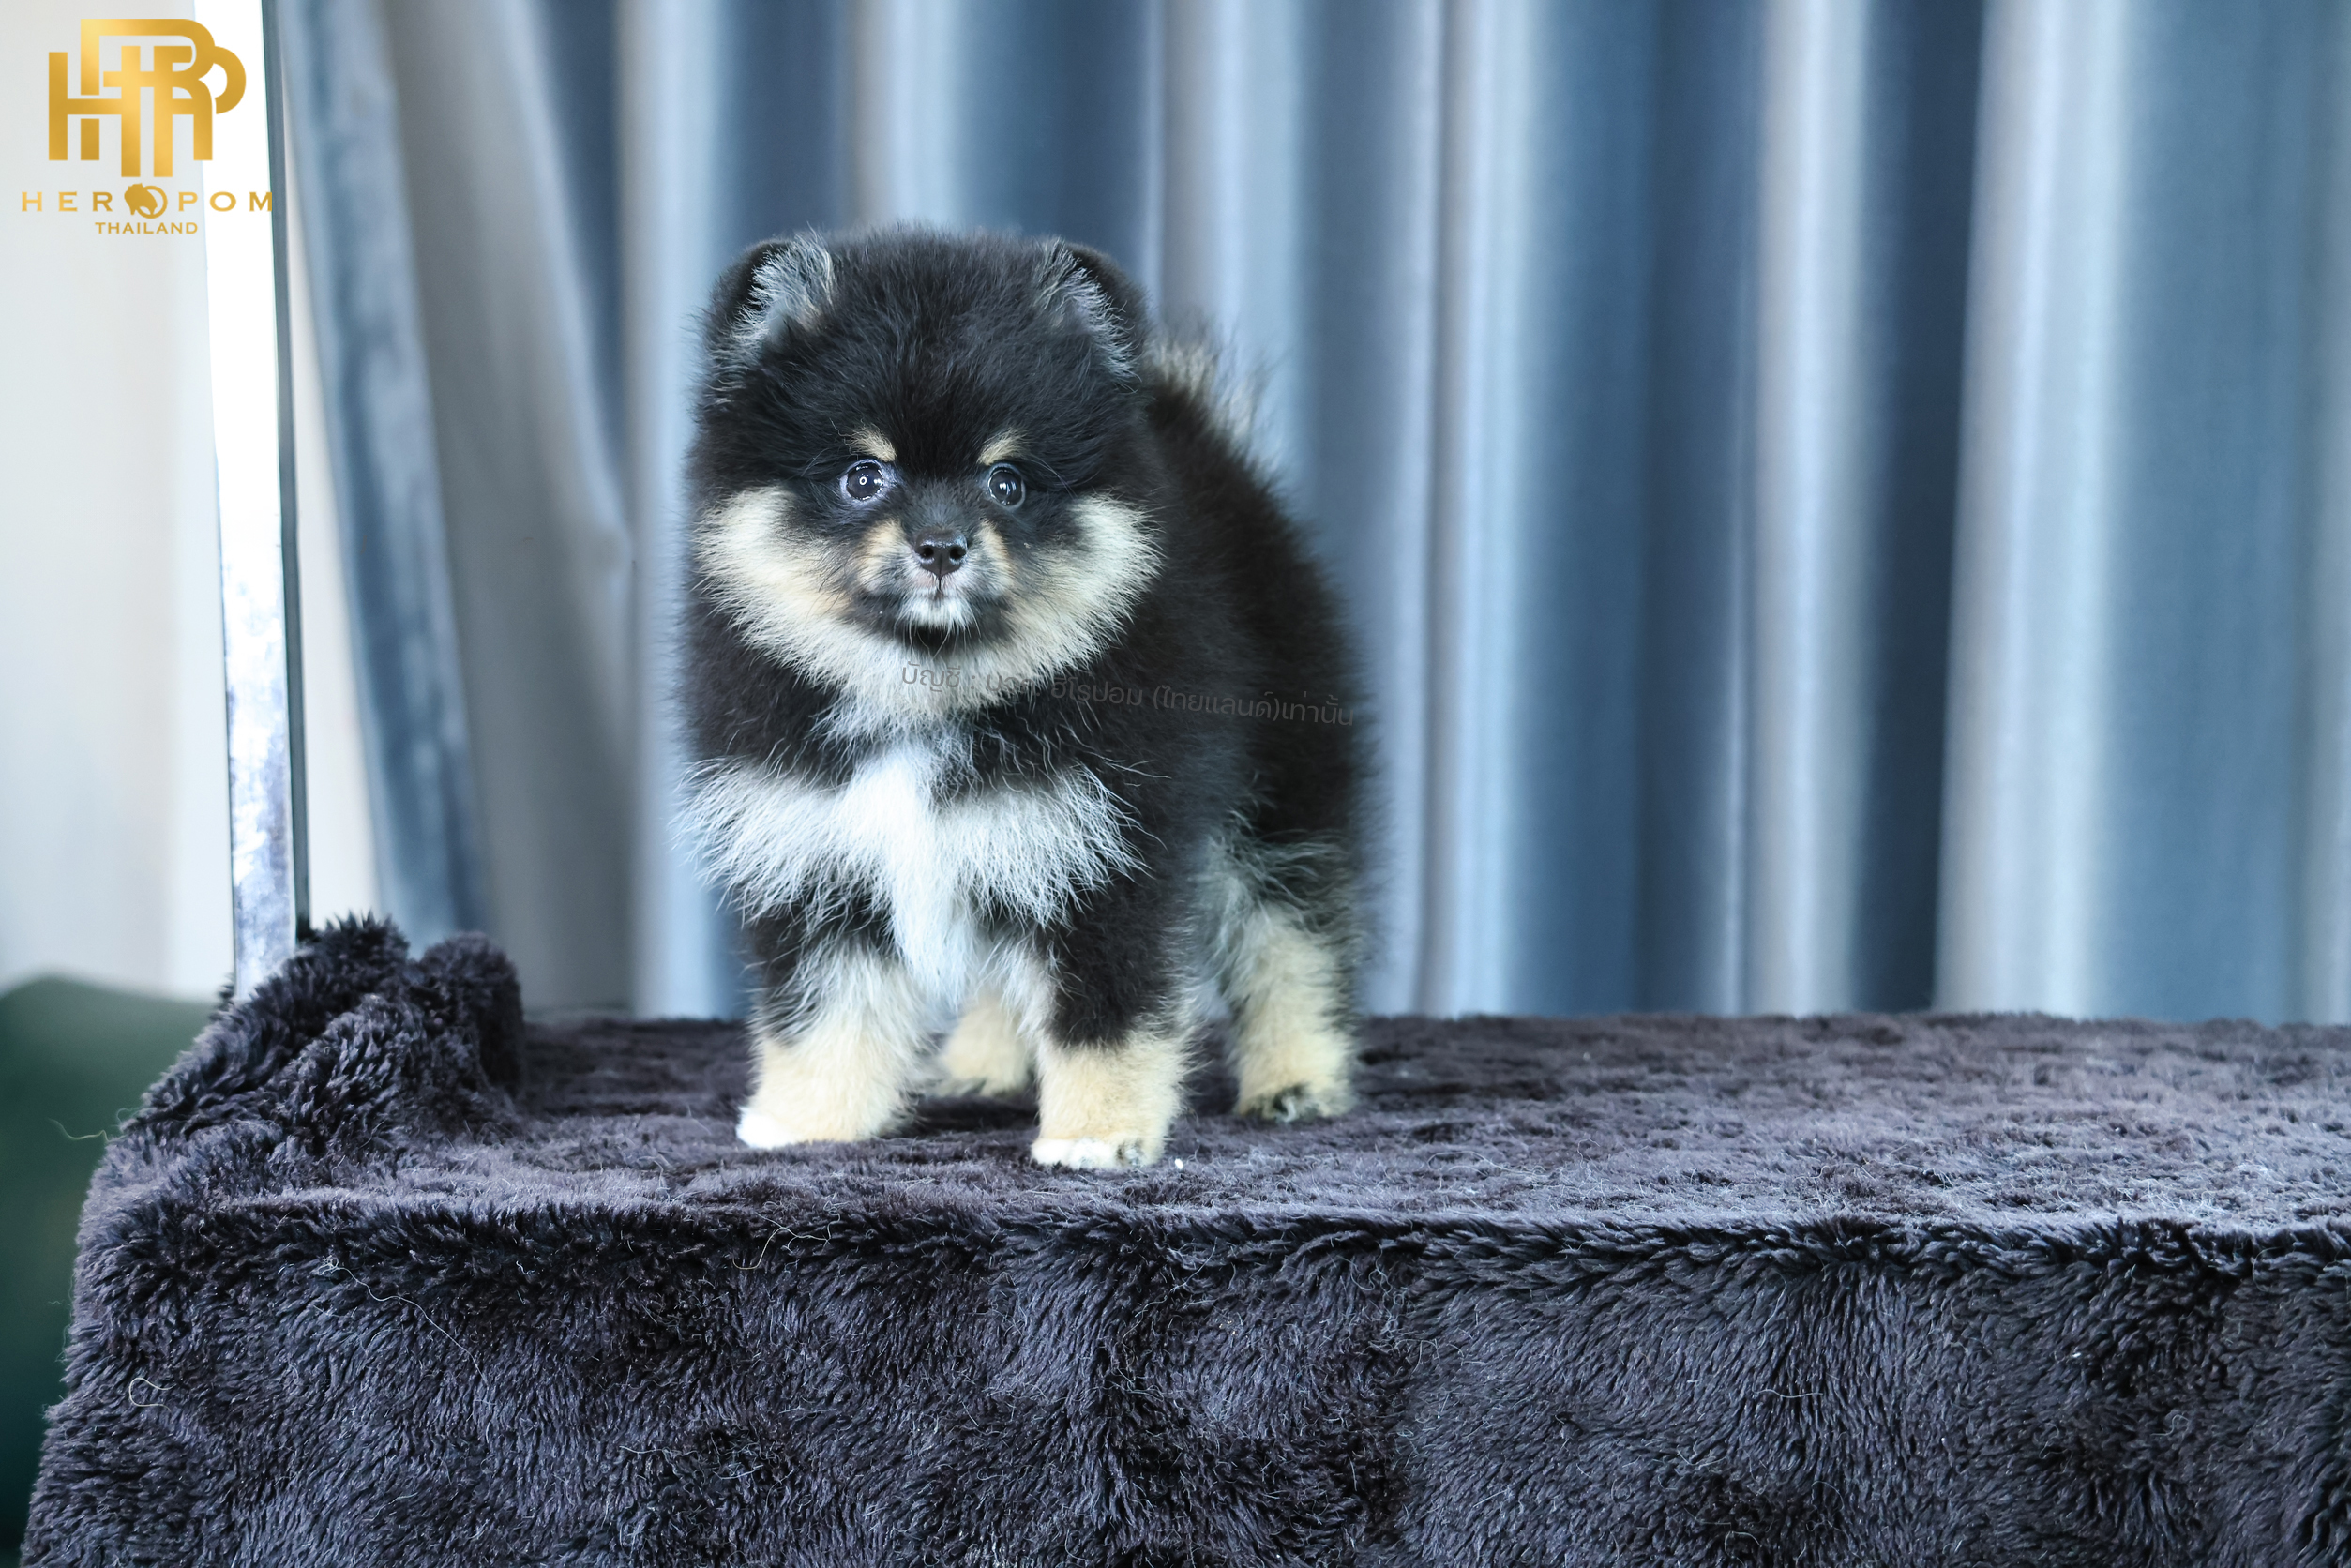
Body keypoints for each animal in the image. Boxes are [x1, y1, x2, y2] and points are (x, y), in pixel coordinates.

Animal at [681, 227, 1365, 1169]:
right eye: (863, 477)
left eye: (1005, 481)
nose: (941, 546)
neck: (926, 691)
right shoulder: (822, 856)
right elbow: (824, 1010)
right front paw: (808, 1120)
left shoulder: (1102, 852)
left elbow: (1103, 1013)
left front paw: (1096, 1132)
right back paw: (983, 1066)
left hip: (1280, 781)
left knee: (1290, 930)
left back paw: (1295, 1077)